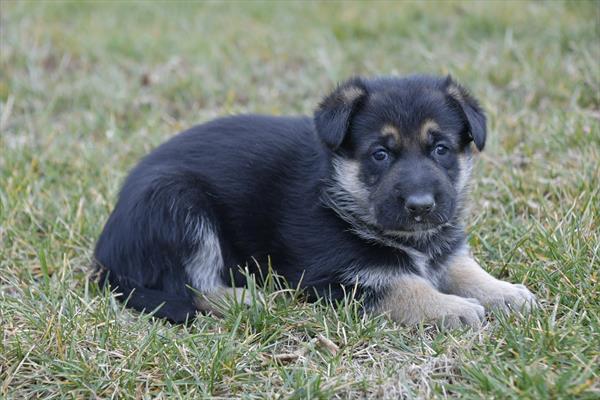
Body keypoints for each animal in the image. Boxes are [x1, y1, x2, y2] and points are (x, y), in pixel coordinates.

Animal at [96, 76, 536, 328]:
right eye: (380, 154)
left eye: (441, 149)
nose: (421, 205)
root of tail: (104, 257)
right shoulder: (340, 276)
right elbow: (403, 286)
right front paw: (449, 308)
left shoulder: (443, 247)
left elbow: (463, 267)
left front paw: (505, 292)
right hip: (176, 200)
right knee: (192, 285)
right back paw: (248, 300)